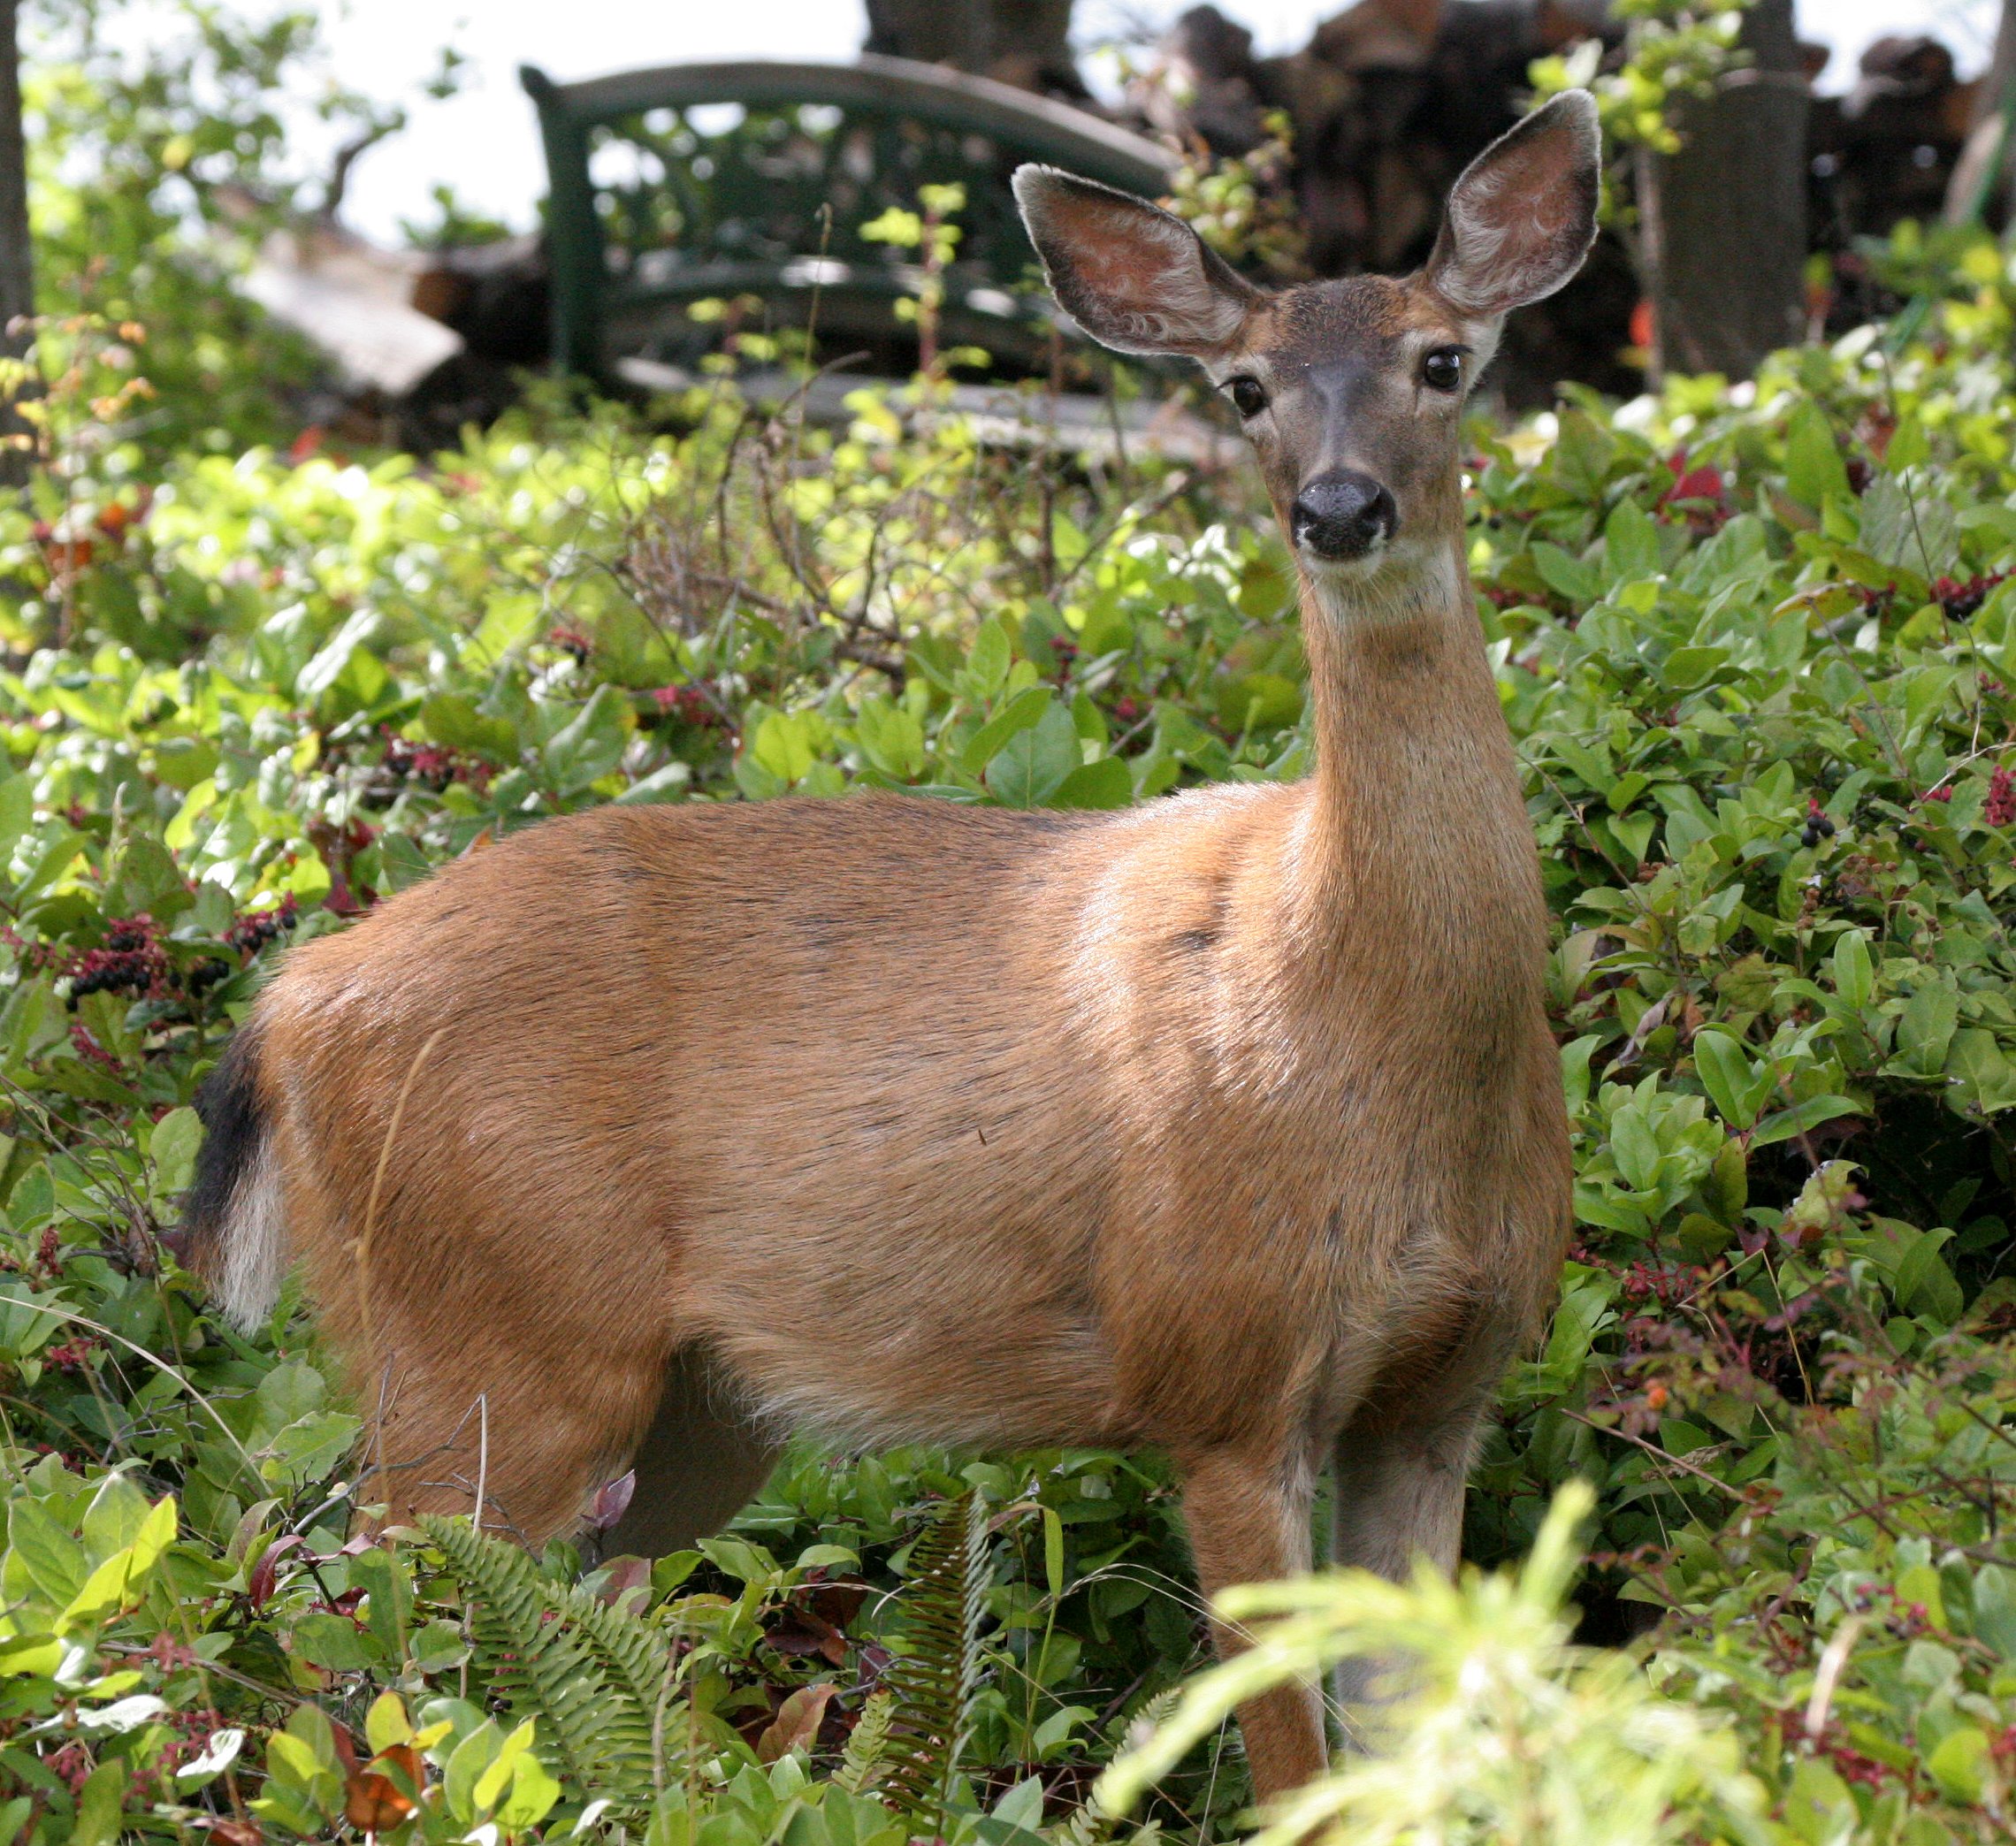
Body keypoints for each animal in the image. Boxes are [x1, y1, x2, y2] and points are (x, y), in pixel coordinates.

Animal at [184, 90, 1597, 1801]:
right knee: (362, 1621)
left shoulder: (1442, 1392)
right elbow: (1301, 1777)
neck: (1352, 1008)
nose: (1338, 508)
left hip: (688, 1409)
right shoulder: (1220, 1371)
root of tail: (289, 1003)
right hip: (482, 1326)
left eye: (1443, 360)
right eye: (1244, 387)